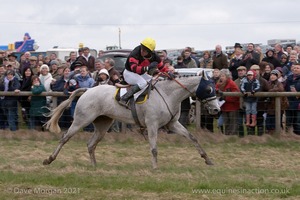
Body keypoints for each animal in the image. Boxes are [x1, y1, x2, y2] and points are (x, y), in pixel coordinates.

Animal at [42, 71, 220, 168]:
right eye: (208, 89)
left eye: (215, 88)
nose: (216, 110)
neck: (169, 94)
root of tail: (87, 90)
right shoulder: (152, 125)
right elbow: (154, 148)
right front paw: (155, 167)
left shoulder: (173, 124)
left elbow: (192, 138)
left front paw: (208, 159)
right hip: (81, 120)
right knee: (64, 138)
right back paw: (49, 159)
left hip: (102, 125)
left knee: (91, 144)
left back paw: (94, 166)